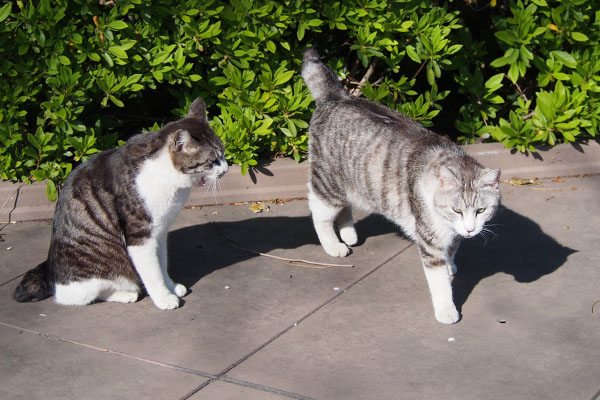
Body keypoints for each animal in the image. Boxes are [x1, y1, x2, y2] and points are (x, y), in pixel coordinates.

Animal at [15, 98, 230, 310]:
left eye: (223, 153)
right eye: (212, 161)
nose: (226, 170)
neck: (166, 173)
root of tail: (50, 272)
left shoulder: (159, 232)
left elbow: (162, 263)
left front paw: (171, 286)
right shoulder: (140, 236)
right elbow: (152, 272)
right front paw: (163, 297)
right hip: (95, 272)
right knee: (75, 297)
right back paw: (125, 294)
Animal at [300, 49, 502, 324]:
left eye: (481, 211)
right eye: (457, 210)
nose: (471, 230)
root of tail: (337, 96)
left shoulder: (453, 235)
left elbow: (451, 251)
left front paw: (450, 266)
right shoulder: (430, 239)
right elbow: (438, 280)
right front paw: (446, 309)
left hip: (356, 183)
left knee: (345, 206)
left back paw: (349, 234)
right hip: (328, 183)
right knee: (319, 210)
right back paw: (333, 245)